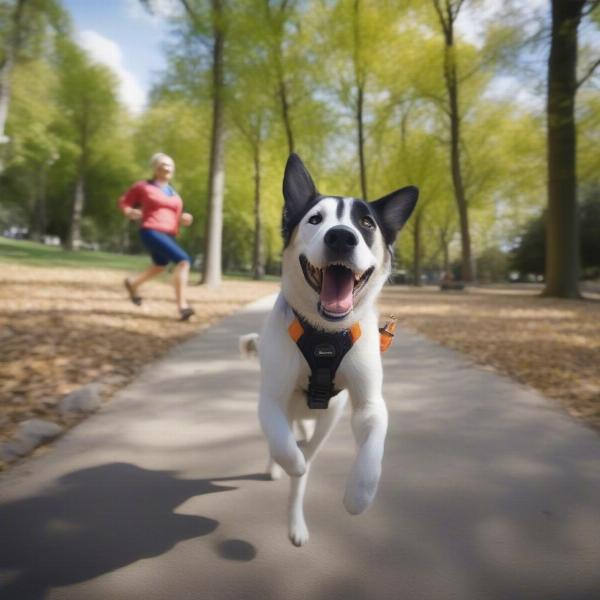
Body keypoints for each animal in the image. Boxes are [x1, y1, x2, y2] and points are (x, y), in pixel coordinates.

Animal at [239, 154, 418, 544]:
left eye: (366, 223)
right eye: (315, 219)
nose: (341, 236)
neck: (325, 333)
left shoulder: (368, 405)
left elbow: (373, 447)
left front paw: (358, 496)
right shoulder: (271, 399)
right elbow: (282, 444)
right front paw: (290, 462)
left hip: (328, 417)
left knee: (311, 449)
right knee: (288, 446)